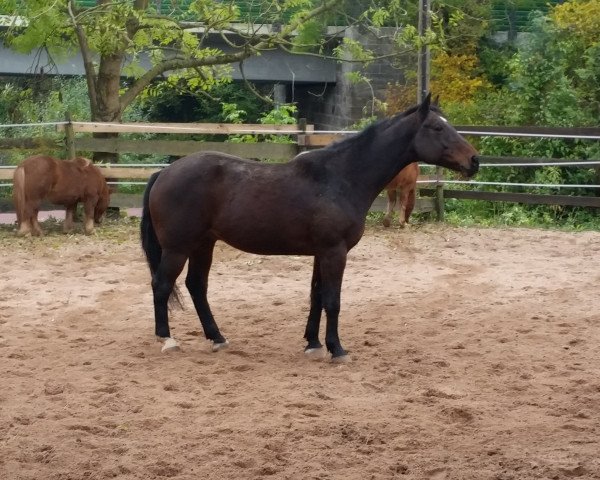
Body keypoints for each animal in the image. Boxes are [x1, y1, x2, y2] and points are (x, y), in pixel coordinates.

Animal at [139, 95, 478, 362]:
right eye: (437, 127)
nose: (474, 160)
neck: (341, 177)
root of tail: (164, 172)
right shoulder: (334, 252)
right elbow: (332, 300)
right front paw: (337, 349)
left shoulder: (320, 253)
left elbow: (316, 296)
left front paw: (313, 344)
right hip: (178, 247)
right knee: (161, 284)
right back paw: (167, 340)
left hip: (203, 244)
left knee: (197, 286)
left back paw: (217, 338)